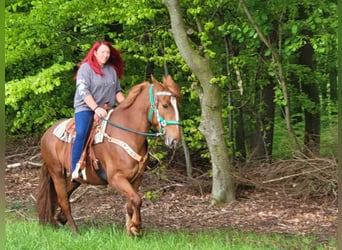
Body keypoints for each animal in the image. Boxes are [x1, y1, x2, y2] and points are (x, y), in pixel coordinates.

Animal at [35, 75, 182, 235]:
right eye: (165, 105)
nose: (175, 139)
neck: (127, 133)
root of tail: (47, 133)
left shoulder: (137, 178)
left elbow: (131, 203)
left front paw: (130, 231)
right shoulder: (116, 178)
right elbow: (137, 199)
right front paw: (136, 227)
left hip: (76, 178)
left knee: (64, 196)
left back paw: (60, 219)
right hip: (56, 172)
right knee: (63, 200)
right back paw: (74, 230)